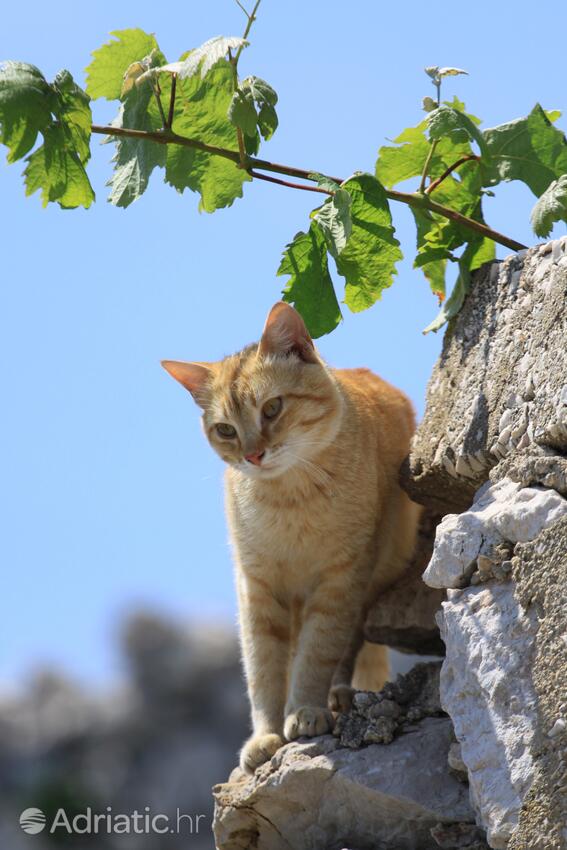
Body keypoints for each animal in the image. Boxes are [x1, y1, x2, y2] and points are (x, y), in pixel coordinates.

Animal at [162, 302, 420, 772]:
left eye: (272, 408)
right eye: (225, 430)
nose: (253, 454)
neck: (289, 500)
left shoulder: (341, 580)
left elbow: (319, 651)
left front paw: (305, 709)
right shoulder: (256, 589)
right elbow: (262, 669)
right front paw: (265, 734)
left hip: (374, 578)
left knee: (348, 649)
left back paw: (337, 697)